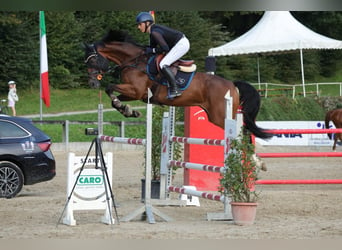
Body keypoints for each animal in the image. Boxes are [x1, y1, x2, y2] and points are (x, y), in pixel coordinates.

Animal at [83, 29, 272, 141]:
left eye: (92, 60)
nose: (92, 83)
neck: (133, 61)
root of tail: (232, 84)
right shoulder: (136, 93)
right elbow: (113, 97)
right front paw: (128, 111)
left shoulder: (136, 90)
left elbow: (110, 88)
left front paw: (125, 108)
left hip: (221, 116)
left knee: (241, 132)